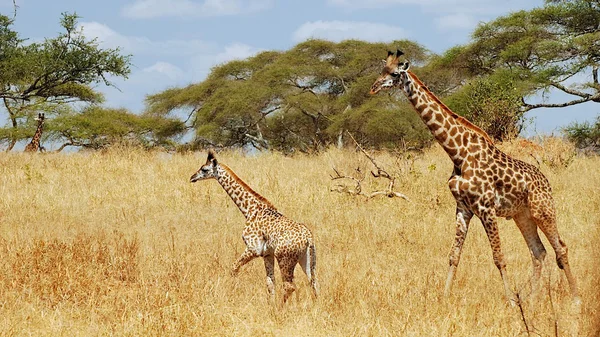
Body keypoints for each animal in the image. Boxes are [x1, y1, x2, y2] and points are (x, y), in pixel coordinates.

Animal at [191, 150, 318, 304]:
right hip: (306, 258)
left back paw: (281, 307)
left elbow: (234, 268)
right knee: (313, 282)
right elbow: (270, 282)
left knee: (290, 286)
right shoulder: (267, 254)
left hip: (284, 257)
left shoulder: (253, 248)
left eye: (204, 169)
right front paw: (270, 304)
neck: (250, 210)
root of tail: (308, 238)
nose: (192, 177)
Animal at [368, 50, 580, 304]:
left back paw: (575, 298)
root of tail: (546, 181)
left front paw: (510, 301)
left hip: (543, 210)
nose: (373, 87)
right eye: (382, 71)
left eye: (394, 74)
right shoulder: (463, 207)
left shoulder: (486, 208)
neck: (457, 153)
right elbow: (454, 255)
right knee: (538, 251)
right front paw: (445, 296)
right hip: (522, 215)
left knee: (561, 248)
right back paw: (531, 298)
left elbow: (499, 257)